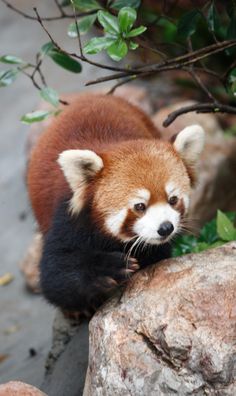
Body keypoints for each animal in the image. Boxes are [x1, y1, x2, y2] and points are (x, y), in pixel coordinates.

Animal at [27, 93, 205, 316]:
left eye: (173, 200)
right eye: (140, 206)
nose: (165, 228)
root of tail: (88, 96)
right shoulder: (67, 217)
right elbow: (55, 274)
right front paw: (108, 268)